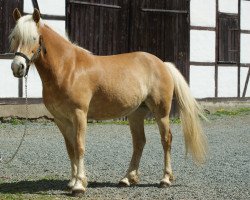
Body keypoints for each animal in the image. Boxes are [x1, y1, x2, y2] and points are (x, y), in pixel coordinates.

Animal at [9, 8, 207, 196]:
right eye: (14, 37)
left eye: (34, 38)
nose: (17, 67)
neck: (68, 68)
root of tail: (162, 63)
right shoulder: (61, 119)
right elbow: (70, 149)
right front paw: (73, 182)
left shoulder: (79, 114)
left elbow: (79, 146)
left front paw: (79, 186)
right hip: (136, 114)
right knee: (139, 142)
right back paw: (127, 178)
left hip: (161, 112)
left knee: (166, 140)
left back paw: (165, 179)